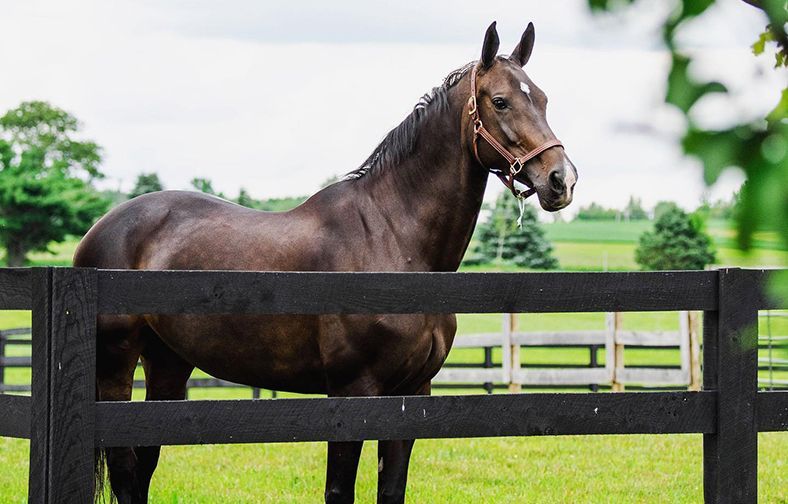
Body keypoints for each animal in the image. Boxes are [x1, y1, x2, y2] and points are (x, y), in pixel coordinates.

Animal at [74, 21, 577, 504]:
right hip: (117, 365)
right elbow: (339, 489)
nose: (561, 180)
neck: (393, 240)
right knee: (125, 471)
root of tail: (101, 230)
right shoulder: (352, 393)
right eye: (501, 101)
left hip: (168, 363)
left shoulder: (411, 393)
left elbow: (391, 488)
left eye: (544, 99)